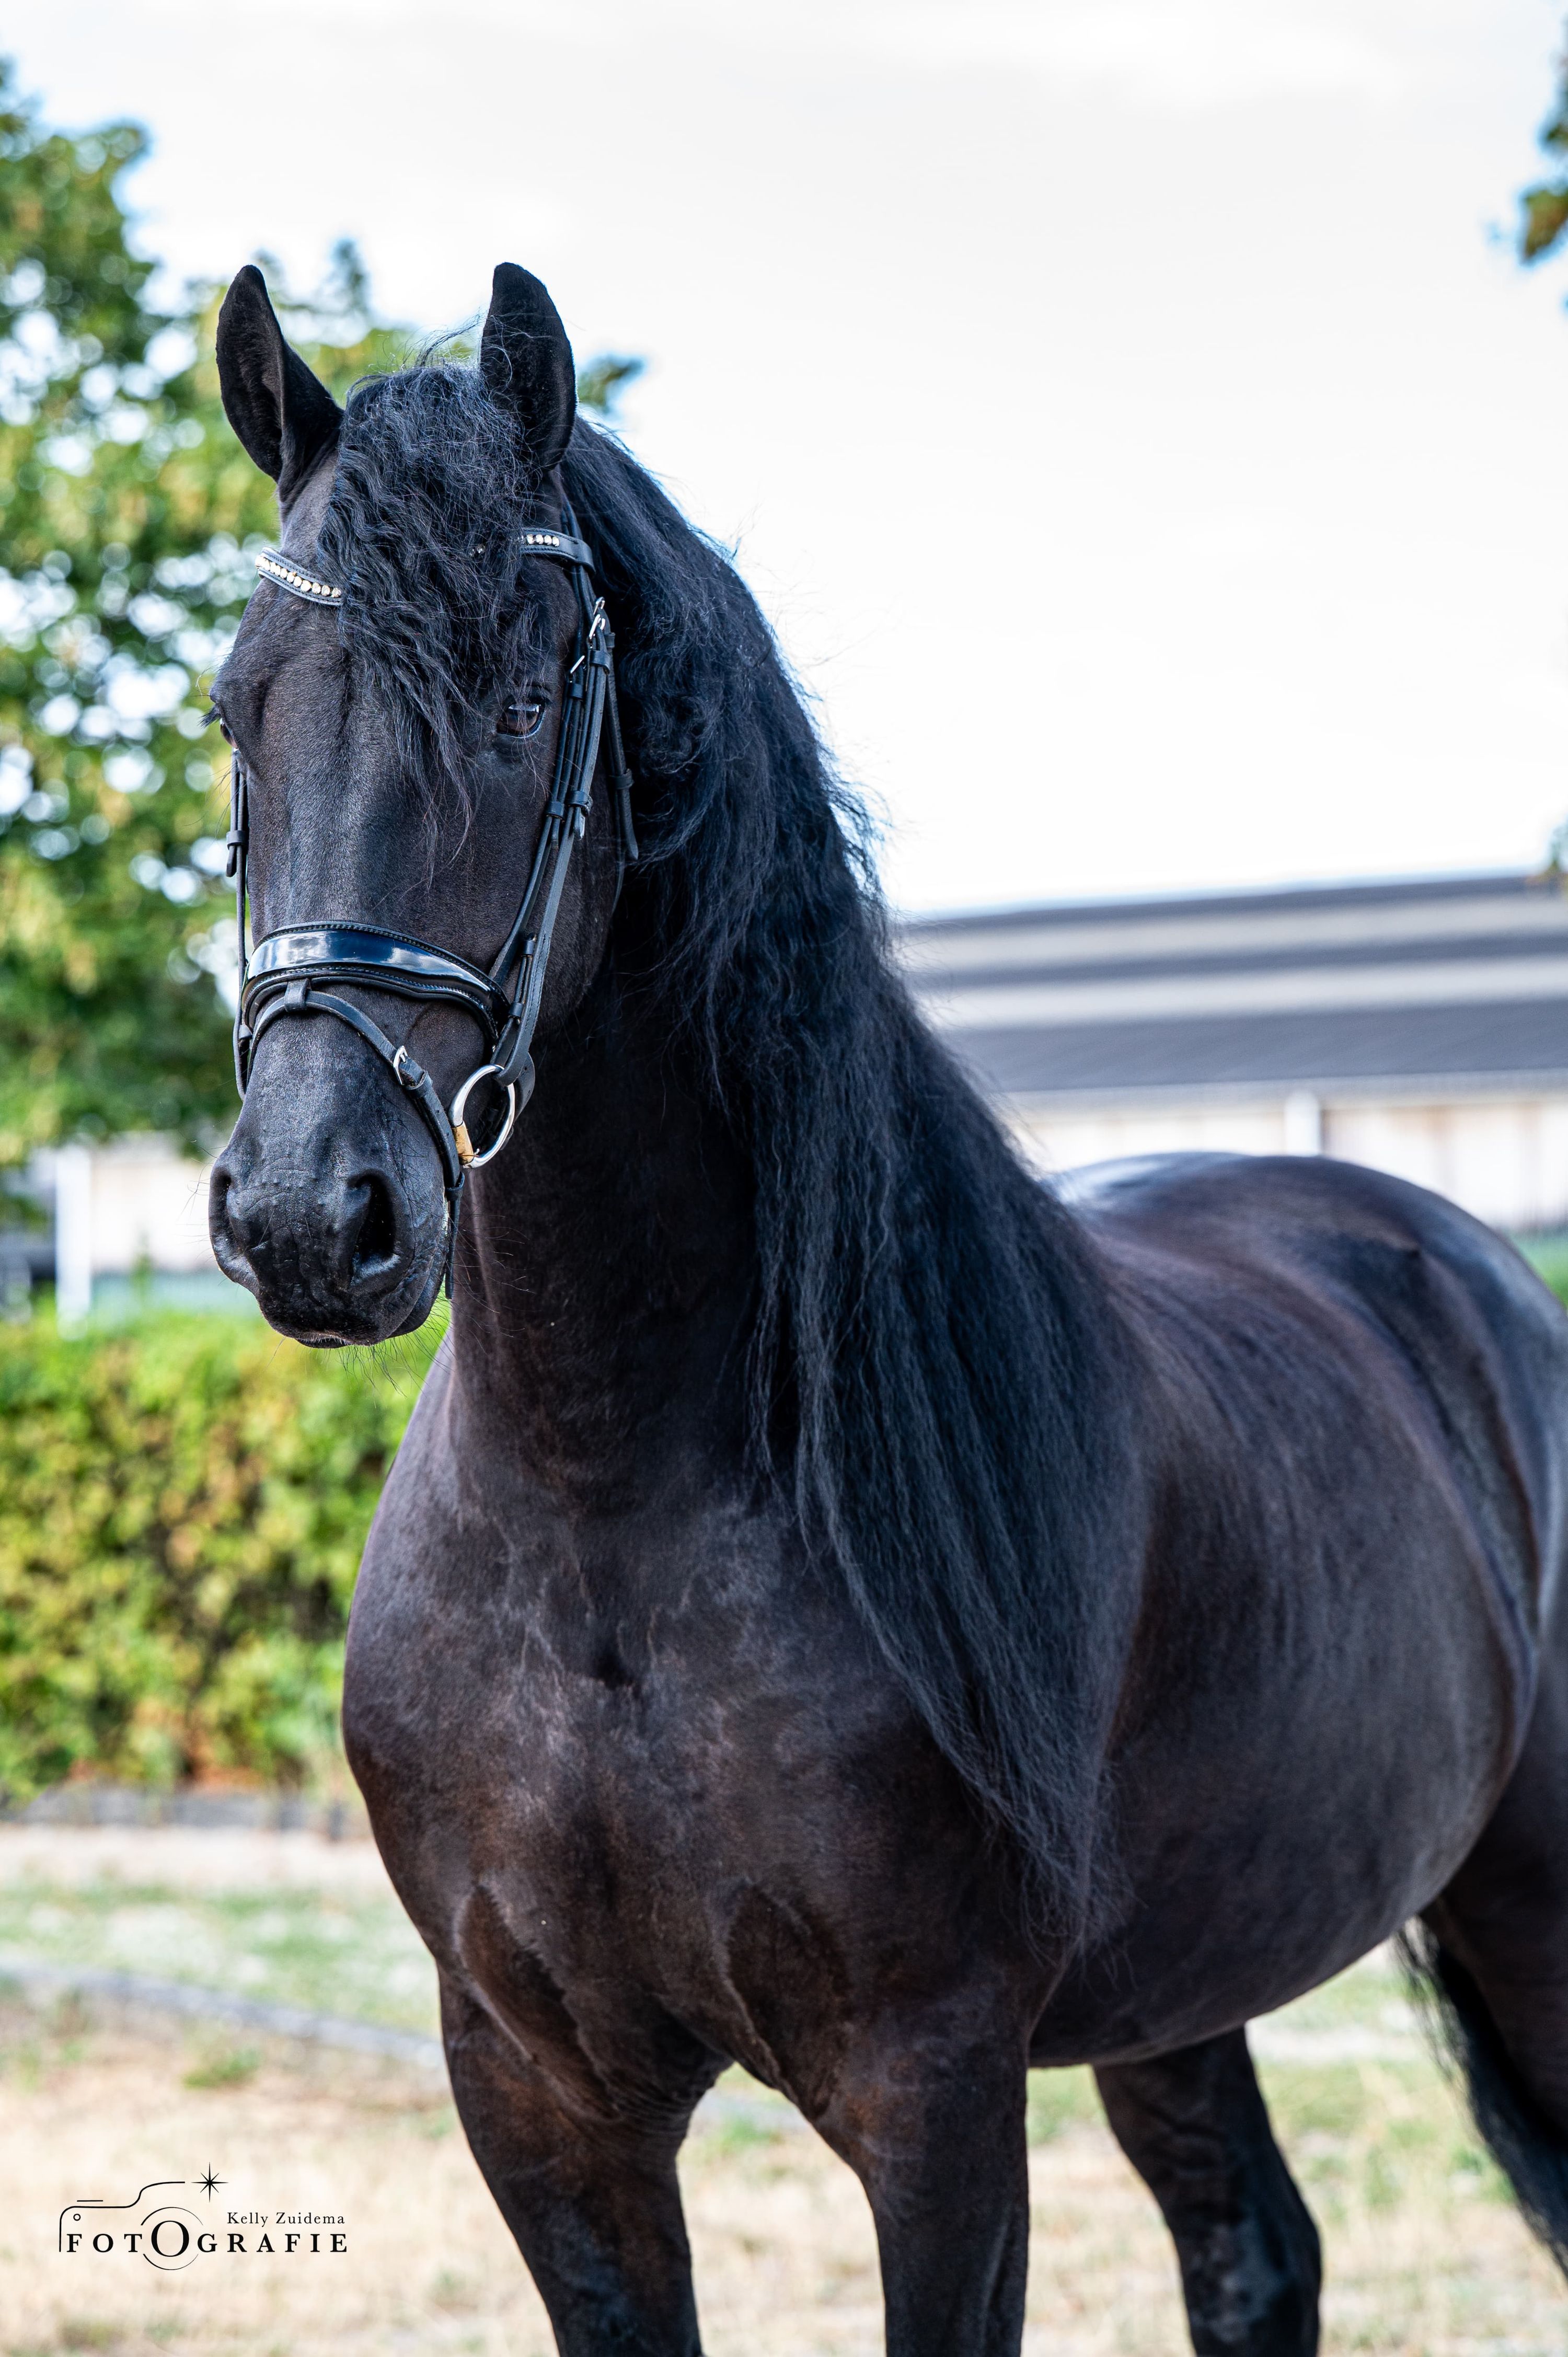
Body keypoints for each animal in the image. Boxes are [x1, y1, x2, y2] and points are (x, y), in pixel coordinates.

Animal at [206, 258, 1568, 2356]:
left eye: (521, 700)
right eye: (239, 709)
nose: (307, 1215)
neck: (612, 1510)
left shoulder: (931, 2094)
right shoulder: (538, 2096)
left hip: (1534, 1914)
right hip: (1187, 1982)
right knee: (1253, 2256)